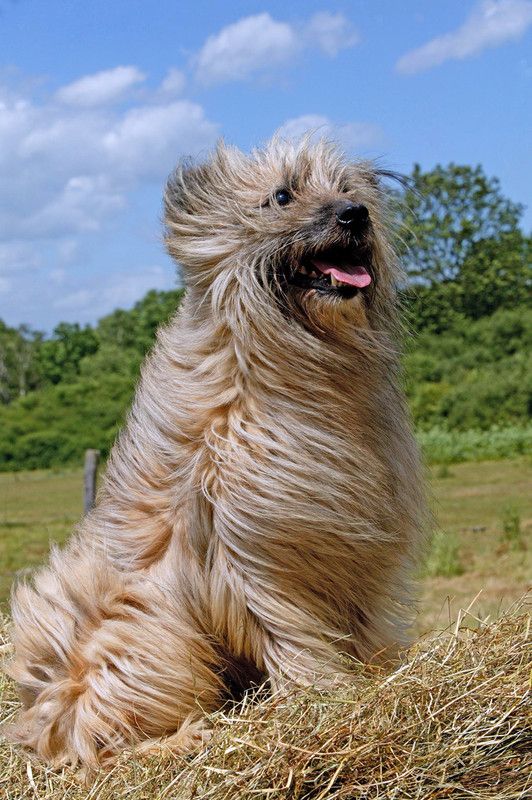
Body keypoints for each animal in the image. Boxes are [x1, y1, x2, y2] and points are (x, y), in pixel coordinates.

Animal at [6, 138, 426, 768]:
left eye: (349, 190)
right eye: (282, 195)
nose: (355, 216)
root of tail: (35, 721)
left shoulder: (351, 547)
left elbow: (363, 621)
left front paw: (381, 675)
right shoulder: (251, 550)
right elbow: (285, 627)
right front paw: (325, 694)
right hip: (146, 634)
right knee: (96, 743)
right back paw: (181, 739)